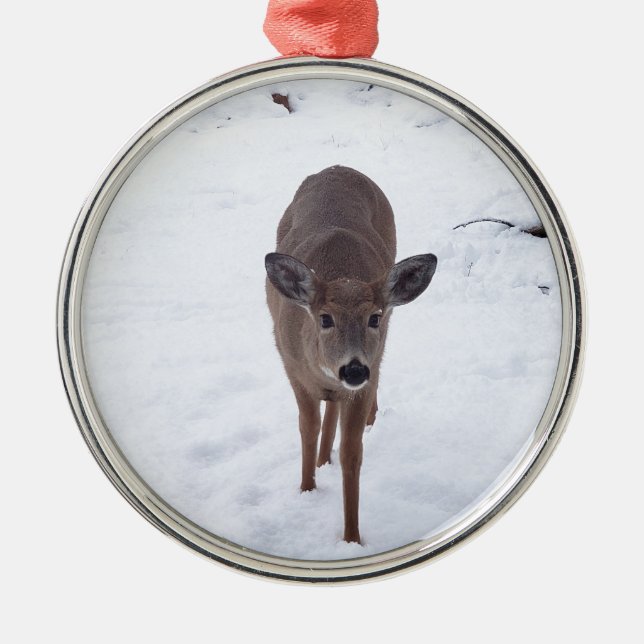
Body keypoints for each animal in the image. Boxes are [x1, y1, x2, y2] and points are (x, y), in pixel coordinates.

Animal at [265, 165, 437, 544]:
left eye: (374, 317)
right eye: (325, 318)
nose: (354, 369)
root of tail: (339, 167)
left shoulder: (367, 377)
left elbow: (352, 453)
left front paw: (351, 539)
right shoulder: (292, 367)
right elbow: (307, 426)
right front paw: (306, 490)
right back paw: (319, 462)